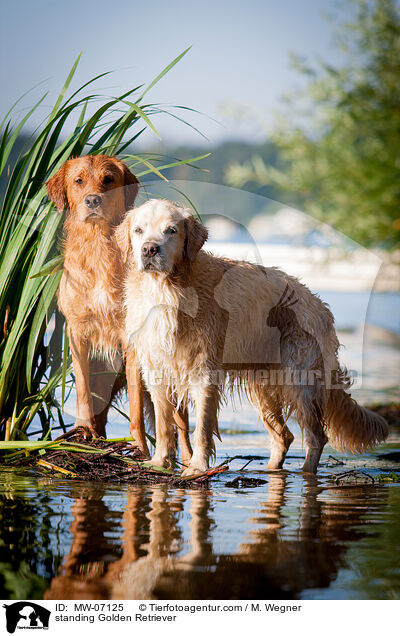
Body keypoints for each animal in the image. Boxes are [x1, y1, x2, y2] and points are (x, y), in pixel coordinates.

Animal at [115, 201, 388, 474]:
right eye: (138, 230)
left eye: (171, 230)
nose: (149, 249)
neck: (166, 289)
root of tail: (319, 305)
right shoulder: (155, 367)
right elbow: (163, 424)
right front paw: (158, 462)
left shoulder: (204, 372)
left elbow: (201, 427)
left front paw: (197, 467)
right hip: (262, 388)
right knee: (284, 436)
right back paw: (272, 470)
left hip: (300, 378)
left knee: (316, 435)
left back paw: (306, 473)